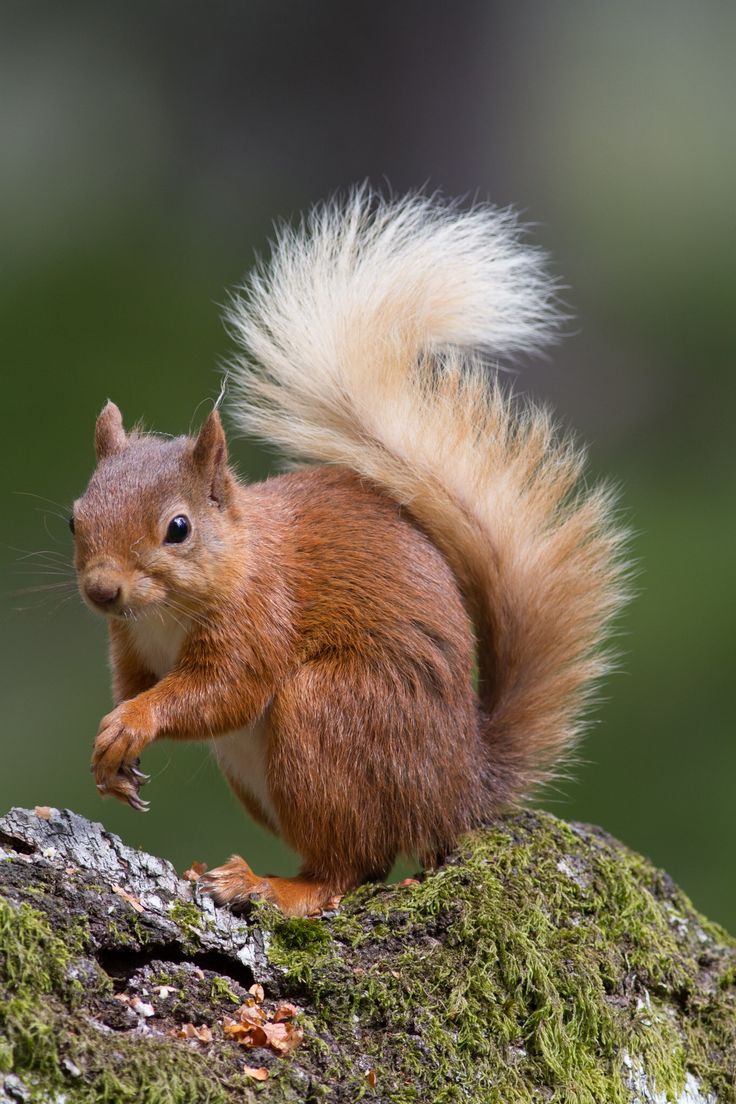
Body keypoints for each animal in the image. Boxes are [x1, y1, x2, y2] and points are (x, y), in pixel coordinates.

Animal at [68, 189, 626, 914]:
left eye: (179, 528)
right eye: (75, 518)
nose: (102, 591)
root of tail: (457, 792)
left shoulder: (260, 618)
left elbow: (225, 690)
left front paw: (136, 720)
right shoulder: (131, 644)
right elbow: (136, 684)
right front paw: (111, 757)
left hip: (328, 717)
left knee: (351, 865)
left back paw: (273, 886)